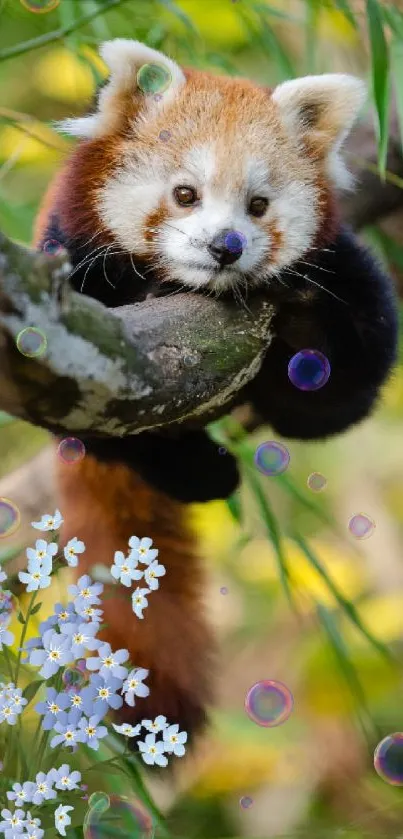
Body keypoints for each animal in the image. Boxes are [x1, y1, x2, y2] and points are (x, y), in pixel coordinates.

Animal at [33, 37, 400, 740]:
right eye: (184, 194)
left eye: (258, 205)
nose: (225, 247)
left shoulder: (346, 272)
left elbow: (335, 398)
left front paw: (301, 313)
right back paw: (204, 470)